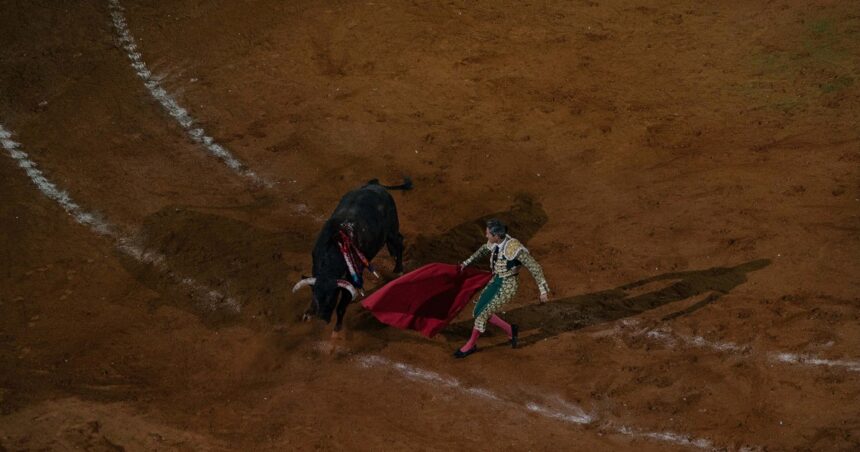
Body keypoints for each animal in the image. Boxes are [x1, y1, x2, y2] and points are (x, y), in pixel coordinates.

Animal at [294, 178, 412, 330]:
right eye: (315, 298)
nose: (322, 320)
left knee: (398, 242)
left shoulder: (350, 280)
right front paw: (308, 313)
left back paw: (398, 270)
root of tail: (375, 185)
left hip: (391, 229)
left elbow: (341, 307)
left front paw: (337, 328)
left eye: (332, 298)